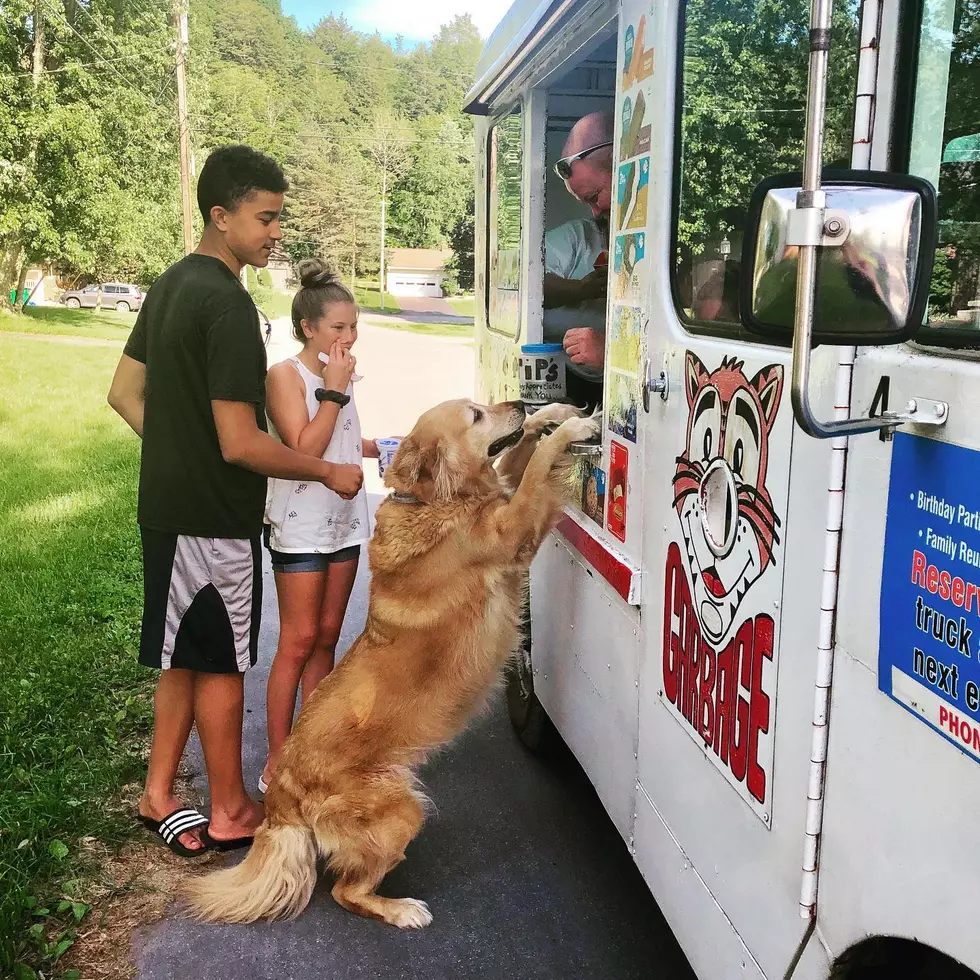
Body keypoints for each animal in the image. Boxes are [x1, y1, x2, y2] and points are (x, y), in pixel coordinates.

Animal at [184, 396, 596, 928]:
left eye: (484, 405)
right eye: (475, 415)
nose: (521, 402)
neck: (436, 503)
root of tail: (281, 800)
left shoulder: (502, 504)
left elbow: (519, 458)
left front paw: (552, 413)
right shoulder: (513, 529)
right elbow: (539, 466)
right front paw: (569, 431)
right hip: (402, 811)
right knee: (346, 891)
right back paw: (401, 910)